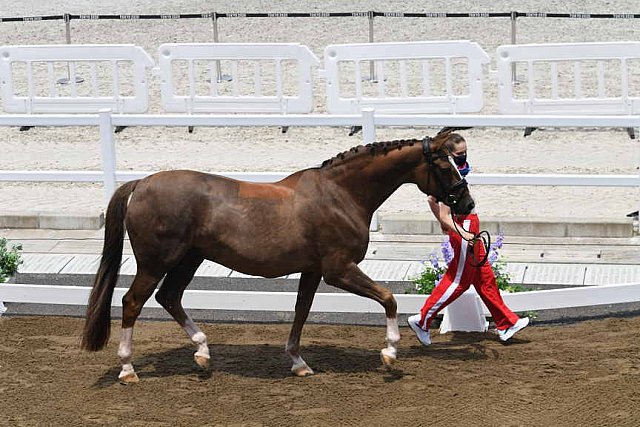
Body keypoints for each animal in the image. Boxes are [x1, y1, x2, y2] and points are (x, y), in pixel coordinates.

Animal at [81, 129, 476, 382]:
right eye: (446, 166)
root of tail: (141, 183)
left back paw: (203, 354)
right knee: (133, 302)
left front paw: (299, 363)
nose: (467, 204)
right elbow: (389, 298)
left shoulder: (313, 271)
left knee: (169, 297)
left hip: (189, 258)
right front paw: (390, 354)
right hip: (157, 262)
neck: (340, 194)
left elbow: (301, 312)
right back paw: (128, 369)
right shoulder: (339, 270)